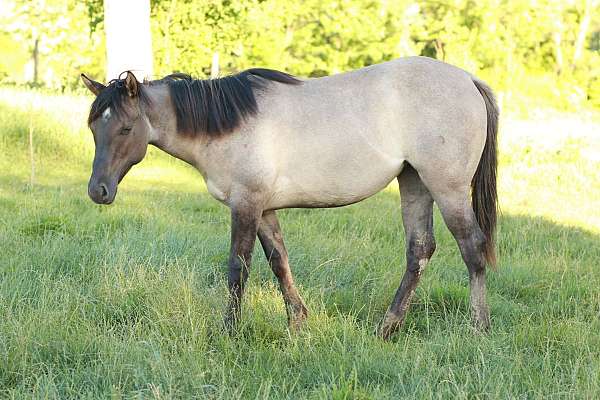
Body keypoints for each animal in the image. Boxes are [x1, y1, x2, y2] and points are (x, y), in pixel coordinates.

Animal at [82, 56, 500, 338]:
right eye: (93, 128)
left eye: (126, 128)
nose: (98, 191)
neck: (226, 126)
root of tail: (468, 80)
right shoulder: (264, 209)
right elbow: (278, 262)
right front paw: (298, 323)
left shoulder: (246, 205)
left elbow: (238, 267)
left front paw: (229, 331)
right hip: (414, 183)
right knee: (419, 251)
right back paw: (387, 328)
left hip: (446, 189)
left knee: (472, 248)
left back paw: (478, 327)